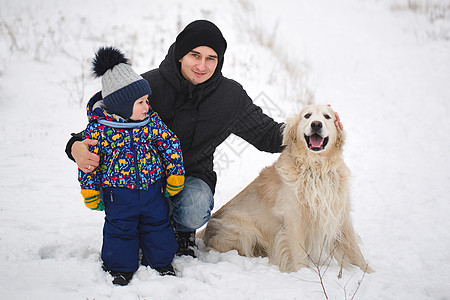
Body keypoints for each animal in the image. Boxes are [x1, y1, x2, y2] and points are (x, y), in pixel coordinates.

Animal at [202, 104, 370, 274]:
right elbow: (298, 253)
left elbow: (354, 250)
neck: (315, 167)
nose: (316, 124)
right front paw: (302, 273)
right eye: (307, 116)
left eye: (327, 117)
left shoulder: (339, 212)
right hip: (243, 231)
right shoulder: (293, 217)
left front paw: (368, 272)